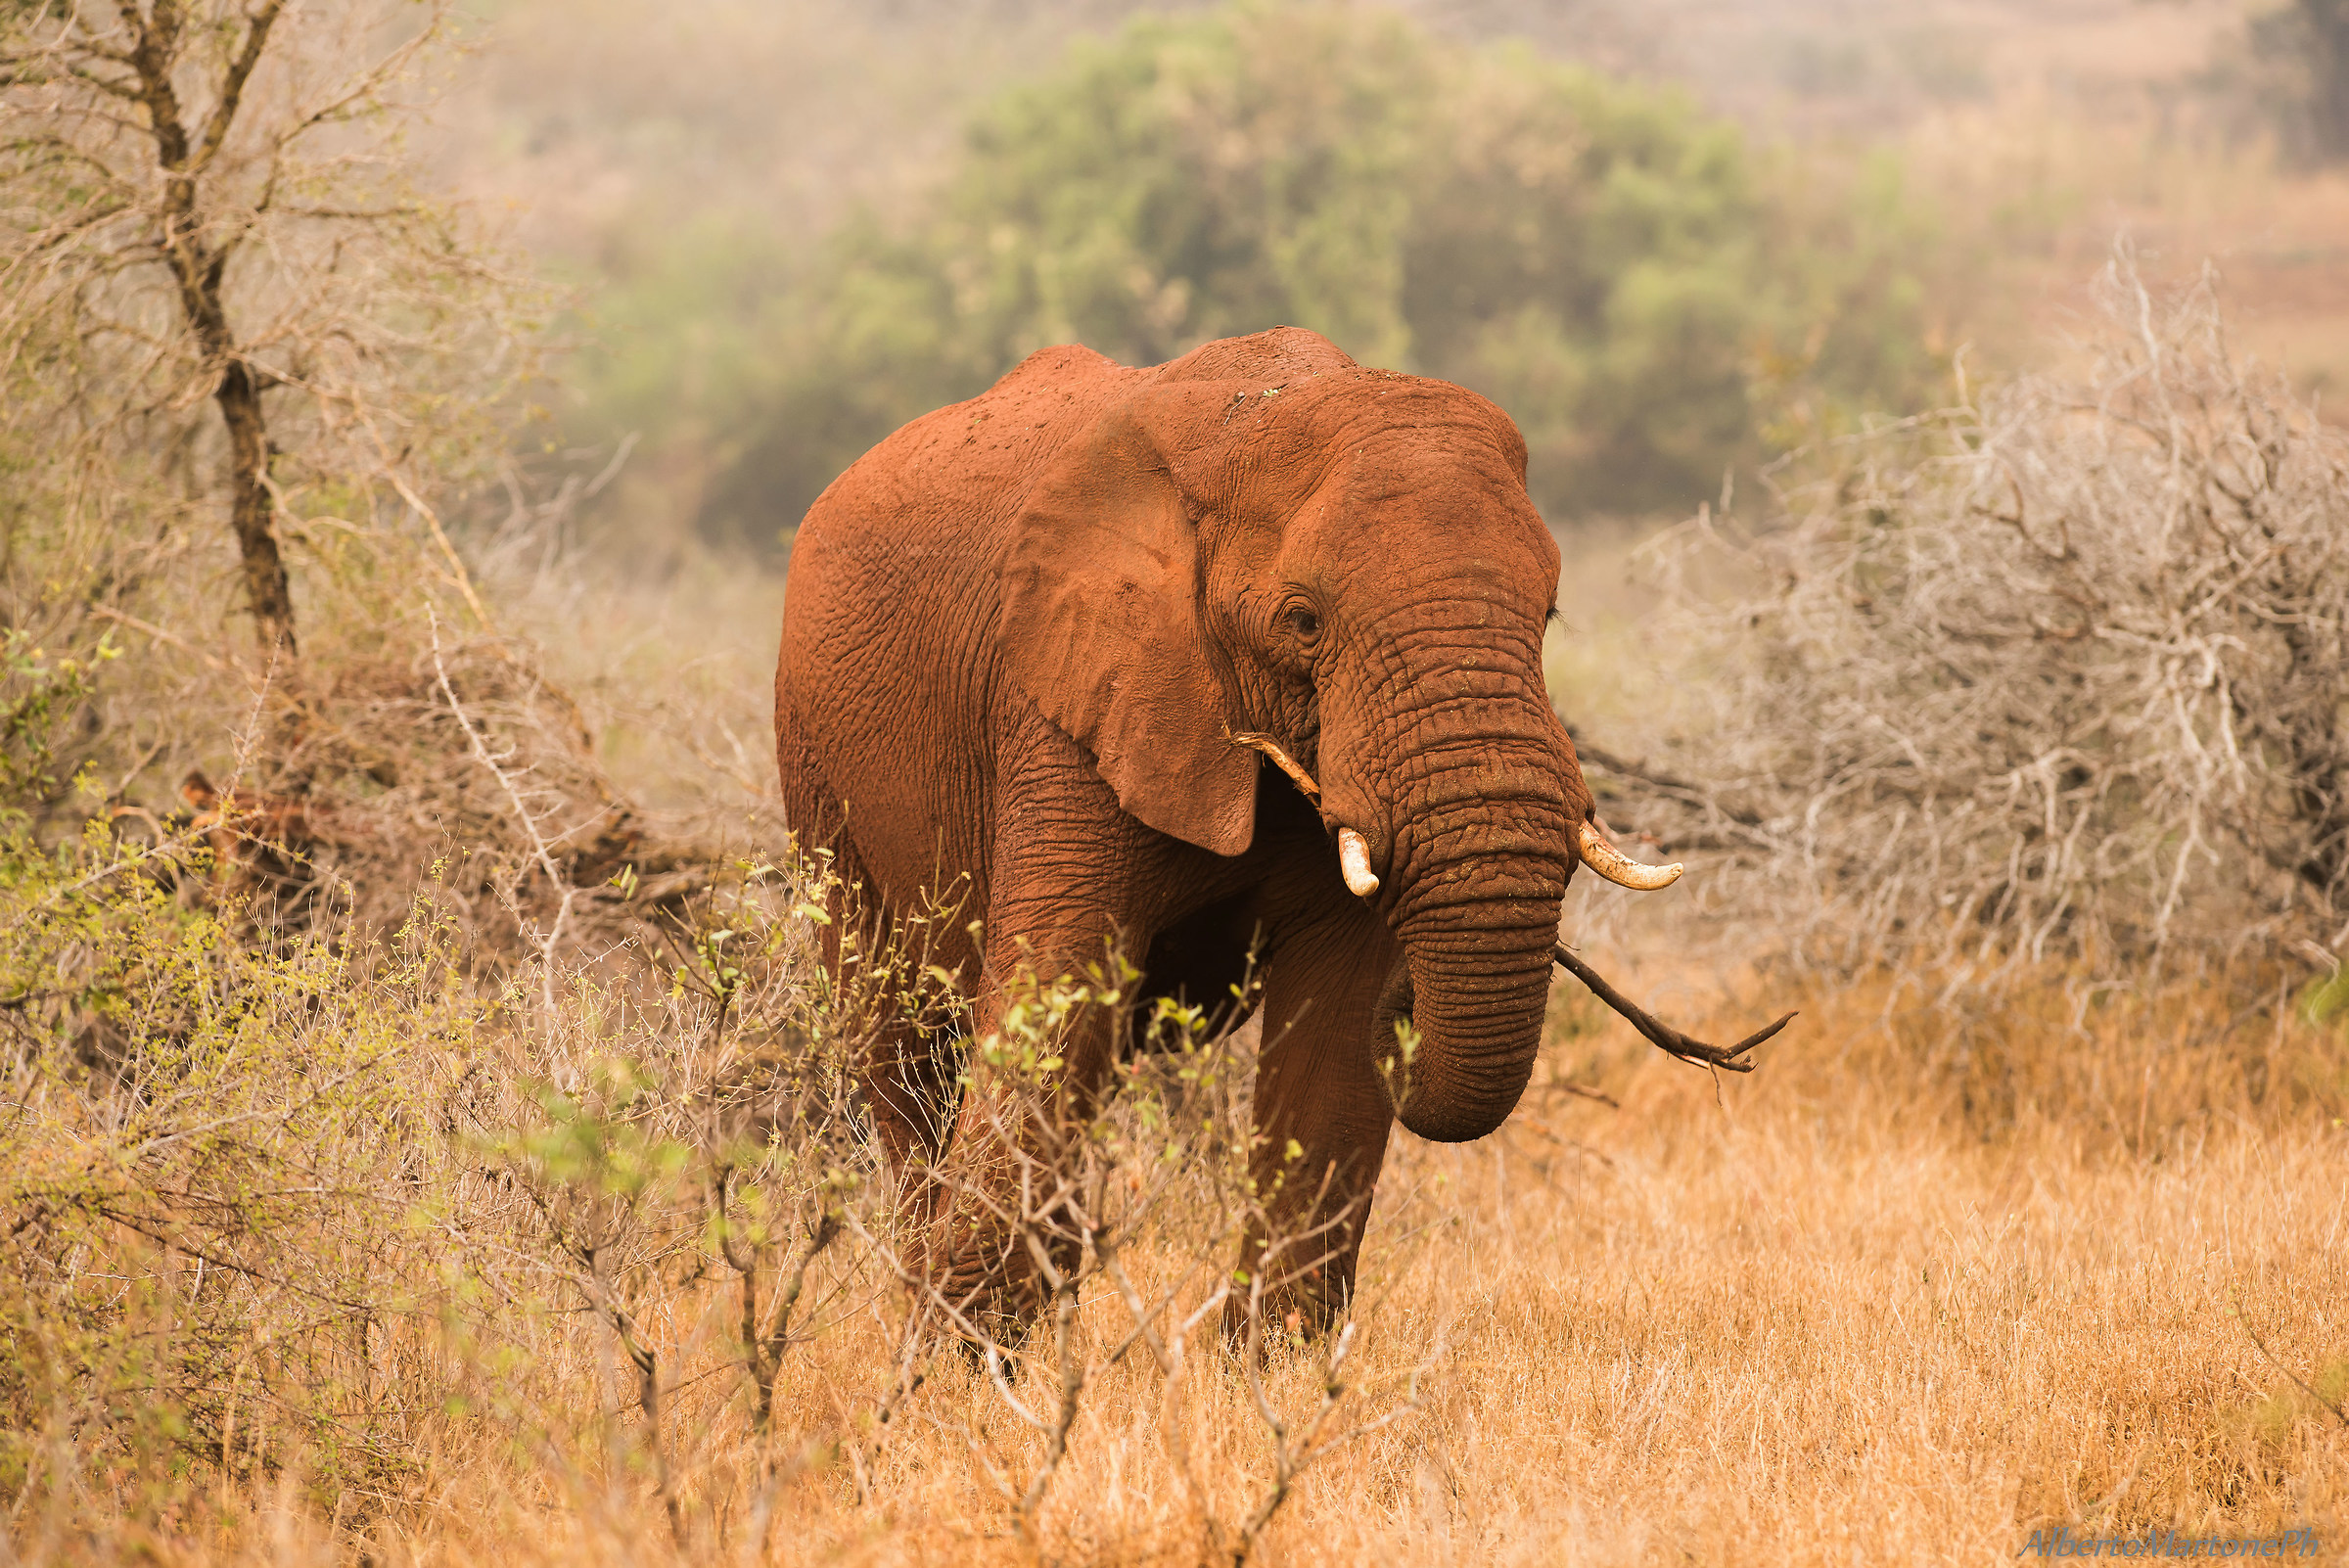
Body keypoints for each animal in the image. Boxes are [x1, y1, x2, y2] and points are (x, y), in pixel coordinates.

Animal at [773, 326, 1783, 1333]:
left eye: (1548, 614)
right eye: (1303, 621)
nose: (1410, 1011)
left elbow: (1333, 1031)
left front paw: (1275, 1363)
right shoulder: (1066, 703)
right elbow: (1060, 993)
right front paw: (964, 1361)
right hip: (816, 770)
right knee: (899, 1047)